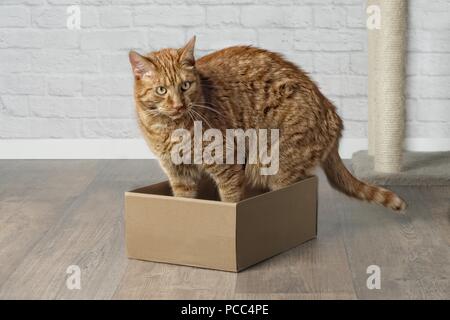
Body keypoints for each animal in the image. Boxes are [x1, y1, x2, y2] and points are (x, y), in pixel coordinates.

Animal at [128, 37, 406, 210]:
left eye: (185, 86)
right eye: (162, 90)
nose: (178, 104)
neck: (170, 129)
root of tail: (333, 114)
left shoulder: (227, 166)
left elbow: (230, 201)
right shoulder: (179, 175)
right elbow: (184, 199)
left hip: (276, 164)